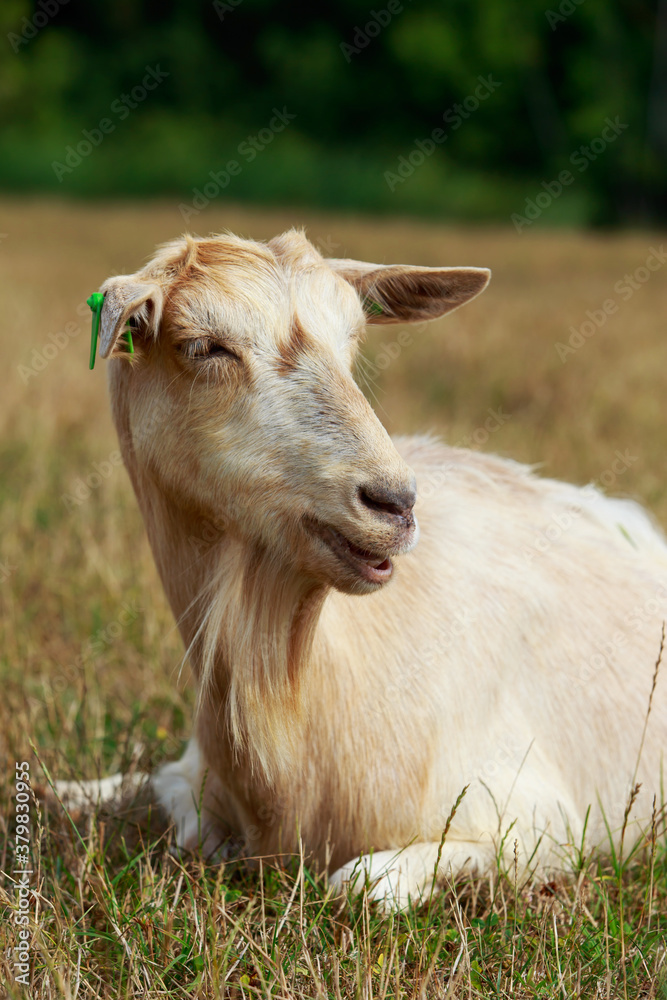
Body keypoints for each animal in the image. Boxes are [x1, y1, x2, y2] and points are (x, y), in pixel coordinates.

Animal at [61, 230, 666, 908]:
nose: (394, 502)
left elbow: (359, 884)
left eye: (352, 341)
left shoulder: (551, 826)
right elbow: (182, 810)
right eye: (203, 346)